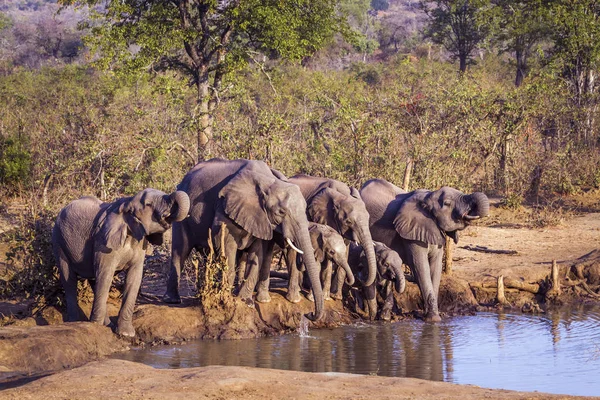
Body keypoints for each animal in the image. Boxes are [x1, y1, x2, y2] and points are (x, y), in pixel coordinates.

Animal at [53, 189, 191, 336]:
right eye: (148, 204)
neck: (127, 203)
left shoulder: (139, 242)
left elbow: (134, 278)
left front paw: (125, 334)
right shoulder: (103, 241)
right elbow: (105, 274)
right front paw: (96, 326)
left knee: (94, 280)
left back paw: (107, 324)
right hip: (59, 241)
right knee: (69, 280)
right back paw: (75, 322)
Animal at [162, 159, 326, 322]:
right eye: (281, 212)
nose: (309, 314)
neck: (268, 182)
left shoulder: (261, 219)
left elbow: (257, 253)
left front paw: (245, 301)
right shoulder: (225, 208)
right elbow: (226, 246)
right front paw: (226, 298)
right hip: (182, 215)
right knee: (180, 251)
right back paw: (173, 300)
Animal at [284, 175, 378, 304]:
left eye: (368, 218)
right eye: (348, 222)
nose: (360, 281)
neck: (341, 195)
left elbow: (344, 251)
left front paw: (335, 297)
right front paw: (324, 297)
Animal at [358, 180, 490, 320]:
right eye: (447, 203)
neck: (429, 197)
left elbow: (435, 267)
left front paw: (435, 316)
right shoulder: (411, 232)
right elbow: (421, 267)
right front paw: (433, 319)